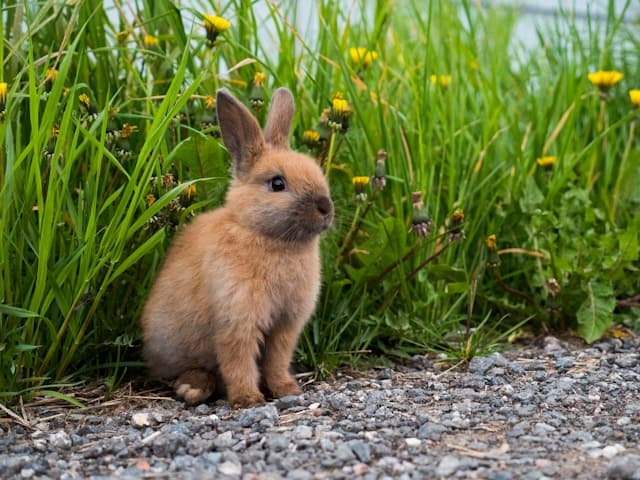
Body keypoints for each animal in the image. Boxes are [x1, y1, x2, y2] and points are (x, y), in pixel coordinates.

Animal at [141, 87, 334, 409]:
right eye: (277, 183)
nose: (326, 208)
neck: (267, 237)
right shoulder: (236, 319)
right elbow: (238, 361)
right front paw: (248, 399)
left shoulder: (285, 325)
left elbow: (276, 360)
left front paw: (287, 389)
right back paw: (192, 388)